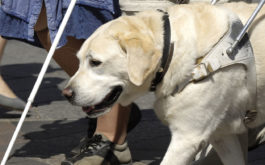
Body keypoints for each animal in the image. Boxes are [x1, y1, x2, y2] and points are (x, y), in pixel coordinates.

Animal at [62, 1, 265, 164]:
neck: (172, 50)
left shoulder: (187, 137)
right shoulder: (223, 135)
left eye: (95, 62)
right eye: (79, 61)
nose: (66, 94)